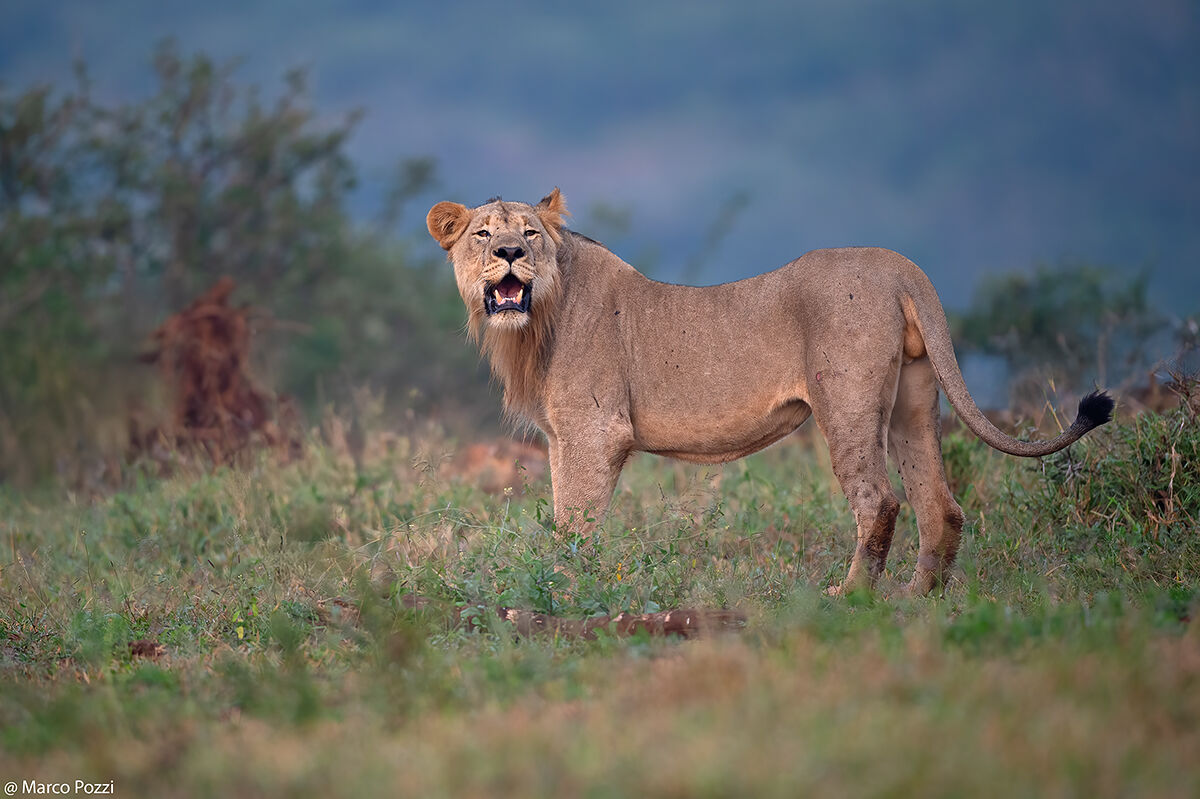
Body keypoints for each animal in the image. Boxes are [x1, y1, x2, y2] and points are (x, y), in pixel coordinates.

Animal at [426, 189, 1114, 596]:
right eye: (483, 235)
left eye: (530, 234)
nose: (509, 253)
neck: (536, 322)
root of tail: (899, 265)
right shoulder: (563, 439)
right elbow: (564, 512)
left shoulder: (596, 433)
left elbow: (575, 521)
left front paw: (568, 590)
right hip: (914, 403)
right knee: (940, 505)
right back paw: (920, 601)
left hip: (846, 400)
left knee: (880, 501)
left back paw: (851, 598)